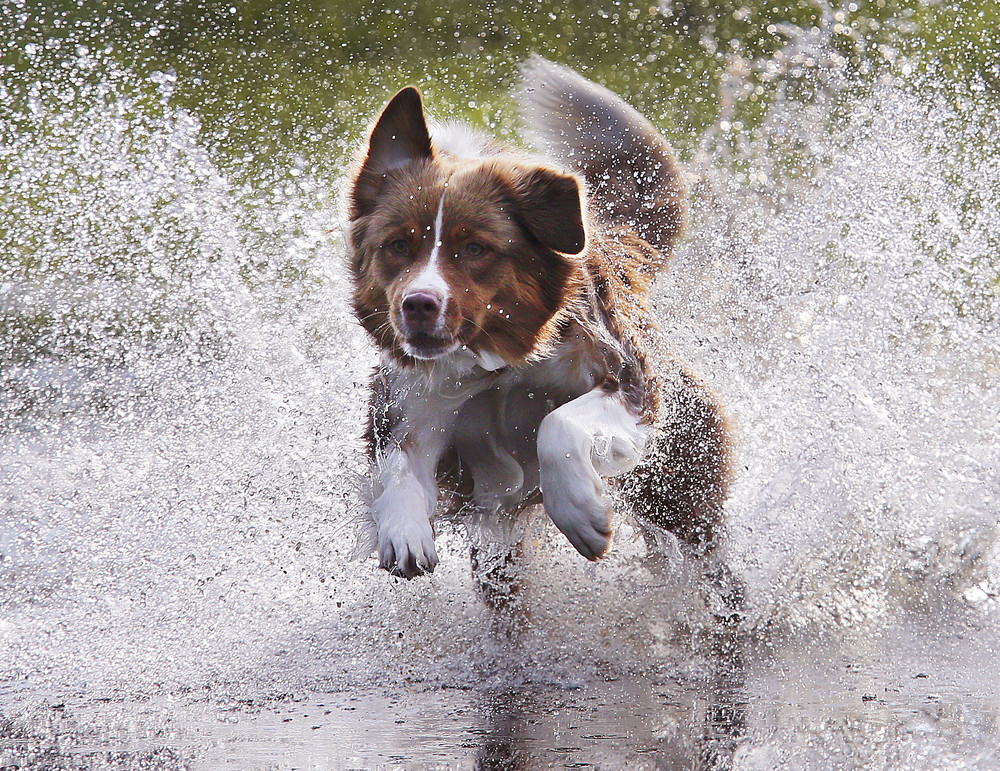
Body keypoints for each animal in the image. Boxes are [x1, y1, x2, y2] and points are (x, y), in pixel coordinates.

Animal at [348, 58, 732, 580]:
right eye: (398, 245)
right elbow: (397, 468)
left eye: (475, 248)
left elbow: (558, 421)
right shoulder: (412, 407)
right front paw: (401, 529)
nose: (418, 304)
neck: (498, 365)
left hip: (680, 486)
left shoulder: (630, 382)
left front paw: (579, 510)